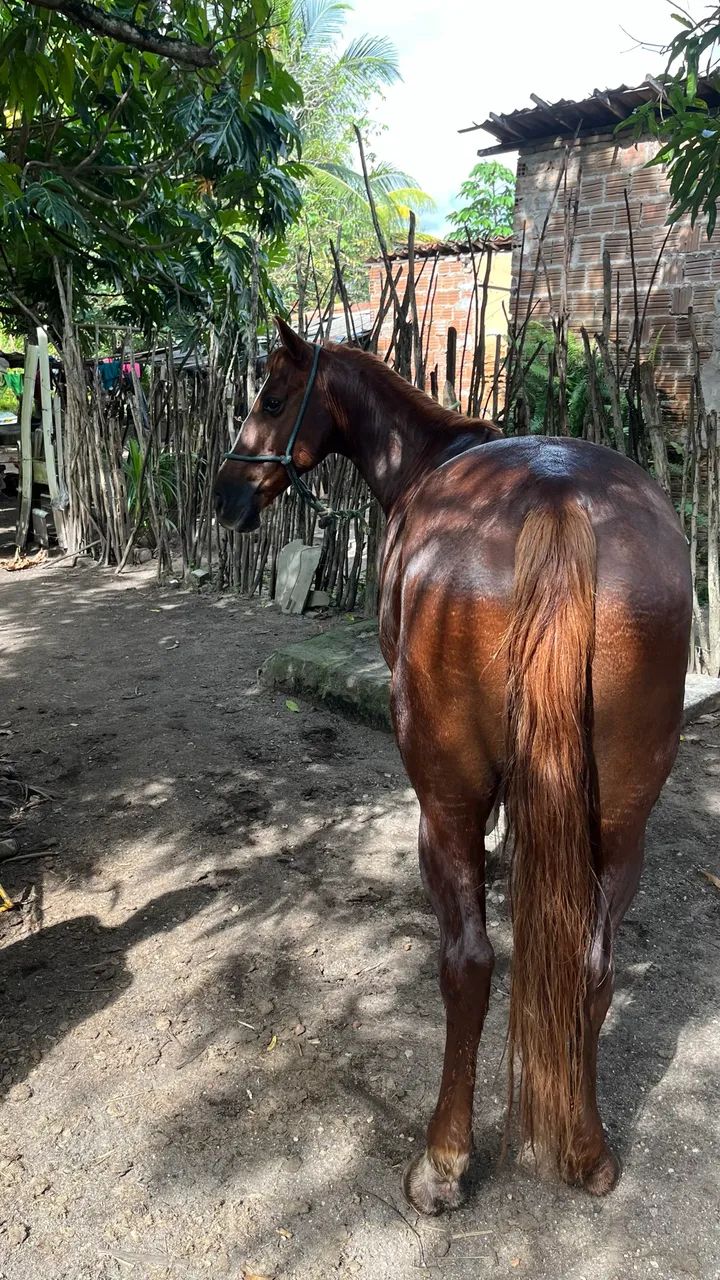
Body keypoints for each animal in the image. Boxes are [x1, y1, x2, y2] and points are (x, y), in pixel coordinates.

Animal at [214, 318, 692, 1216]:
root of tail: (557, 498)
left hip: (444, 799)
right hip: (622, 817)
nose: (227, 495)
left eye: (271, 396)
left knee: (468, 964)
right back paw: (587, 1153)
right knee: (594, 963)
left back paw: (443, 1161)